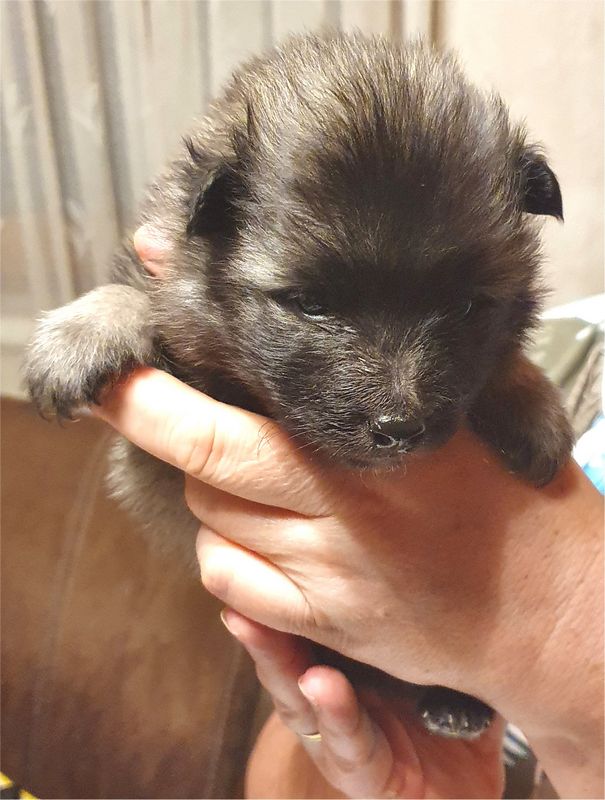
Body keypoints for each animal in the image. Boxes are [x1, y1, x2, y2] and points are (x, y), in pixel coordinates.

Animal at [24, 33, 573, 739]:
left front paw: (533, 406)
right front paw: (86, 328)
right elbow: (143, 299)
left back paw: (458, 702)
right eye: (310, 303)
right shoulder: (157, 468)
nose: (400, 428)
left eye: (467, 306)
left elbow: (504, 363)